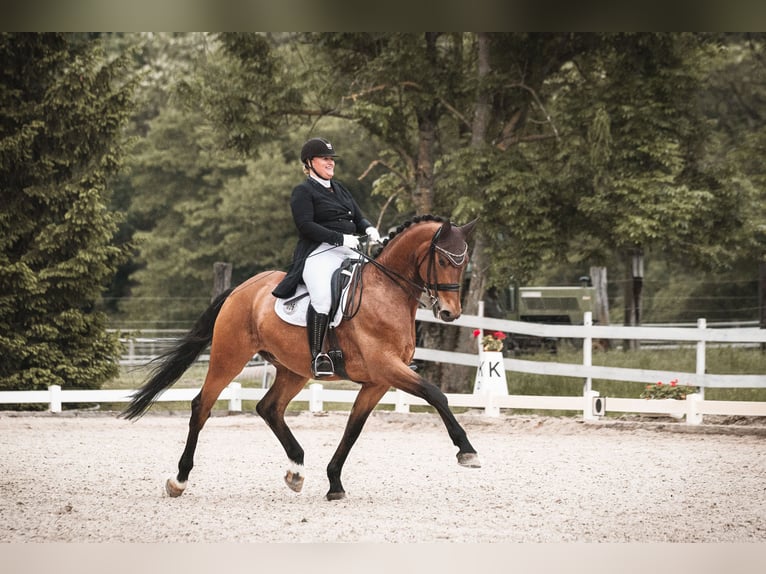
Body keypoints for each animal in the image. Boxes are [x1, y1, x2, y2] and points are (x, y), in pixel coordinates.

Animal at [122, 215, 482, 501]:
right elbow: (436, 394)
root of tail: (241, 289)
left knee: (269, 408)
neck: (387, 292)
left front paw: (334, 483)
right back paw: (179, 480)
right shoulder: (387, 368)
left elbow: (354, 428)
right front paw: (467, 451)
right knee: (202, 406)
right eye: (444, 262)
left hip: (293, 369)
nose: (450, 313)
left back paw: (296, 470)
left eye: (463, 263)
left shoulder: (377, 381)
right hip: (230, 357)